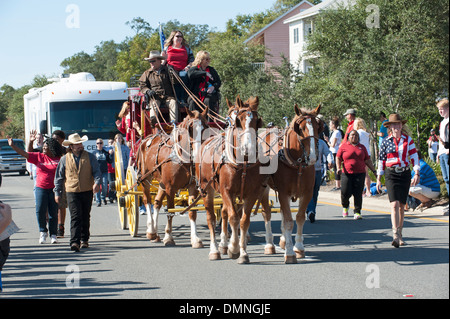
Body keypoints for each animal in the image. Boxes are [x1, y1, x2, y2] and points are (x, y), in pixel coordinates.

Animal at [137, 107, 209, 248]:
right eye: (190, 128)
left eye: (205, 127)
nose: (199, 153)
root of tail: (146, 139)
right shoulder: (170, 187)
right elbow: (170, 211)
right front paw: (169, 237)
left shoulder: (193, 187)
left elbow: (192, 211)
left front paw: (195, 239)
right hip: (145, 178)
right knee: (147, 200)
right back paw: (151, 230)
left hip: (161, 182)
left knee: (157, 202)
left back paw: (155, 232)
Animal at [194, 96, 266, 264]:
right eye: (238, 121)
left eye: (257, 122)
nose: (248, 148)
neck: (243, 163)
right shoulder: (226, 191)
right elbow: (233, 218)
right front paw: (233, 248)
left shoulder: (250, 194)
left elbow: (243, 221)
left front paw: (243, 252)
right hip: (206, 189)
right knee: (211, 218)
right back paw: (214, 250)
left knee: (224, 213)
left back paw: (223, 245)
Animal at [258, 104, 322, 264]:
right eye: (301, 128)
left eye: (318, 127)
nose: (313, 157)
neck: (297, 163)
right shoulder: (283, 192)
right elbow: (288, 221)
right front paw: (290, 253)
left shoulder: (307, 193)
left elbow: (299, 218)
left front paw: (298, 247)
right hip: (264, 188)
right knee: (267, 213)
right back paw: (270, 244)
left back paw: (282, 240)